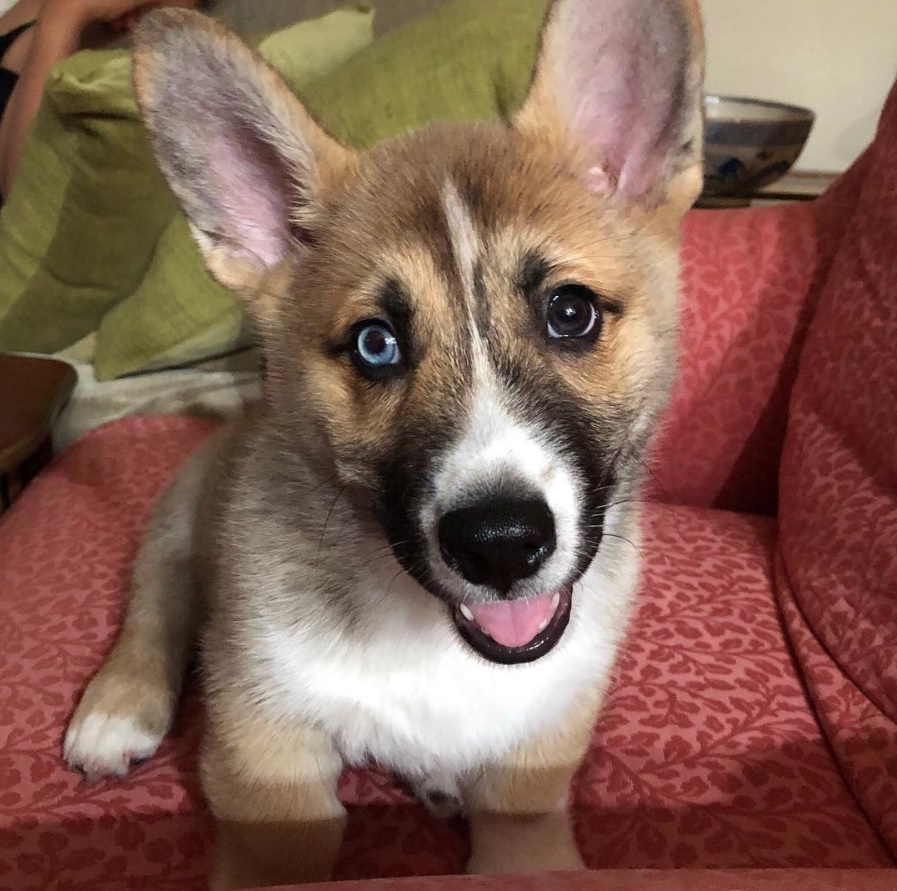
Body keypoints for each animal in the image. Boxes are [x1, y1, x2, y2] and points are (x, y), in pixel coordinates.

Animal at [63, 1, 708, 884]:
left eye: (569, 312)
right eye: (376, 345)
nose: (499, 544)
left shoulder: (533, 775)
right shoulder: (267, 763)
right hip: (177, 525)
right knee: (153, 609)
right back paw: (115, 709)